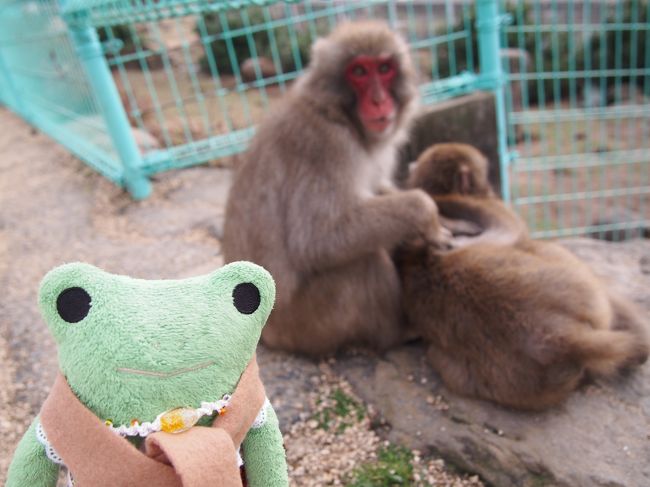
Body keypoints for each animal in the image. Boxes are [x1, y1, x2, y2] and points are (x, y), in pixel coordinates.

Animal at [220, 21, 442, 354]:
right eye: (359, 71)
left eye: (385, 68)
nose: (379, 100)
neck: (339, 115)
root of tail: (266, 335)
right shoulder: (325, 146)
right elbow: (318, 237)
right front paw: (428, 213)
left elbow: (377, 186)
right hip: (310, 323)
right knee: (363, 260)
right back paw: (398, 333)